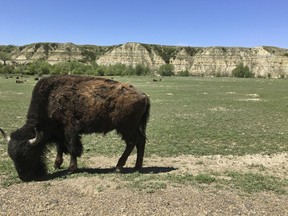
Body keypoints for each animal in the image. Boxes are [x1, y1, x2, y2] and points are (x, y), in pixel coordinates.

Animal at [0, 75, 148, 181]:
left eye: (29, 154)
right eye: (12, 157)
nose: (23, 177)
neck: (49, 100)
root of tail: (144, 96)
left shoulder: (70, 130)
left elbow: (72, 148)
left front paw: (71, 169)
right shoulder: (60, 132)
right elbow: (60, 147)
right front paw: (57, 164)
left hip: (126, 128)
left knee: (132, 142)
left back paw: (119, 166)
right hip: (132, 128)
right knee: (140, 141)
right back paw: (137, 166)